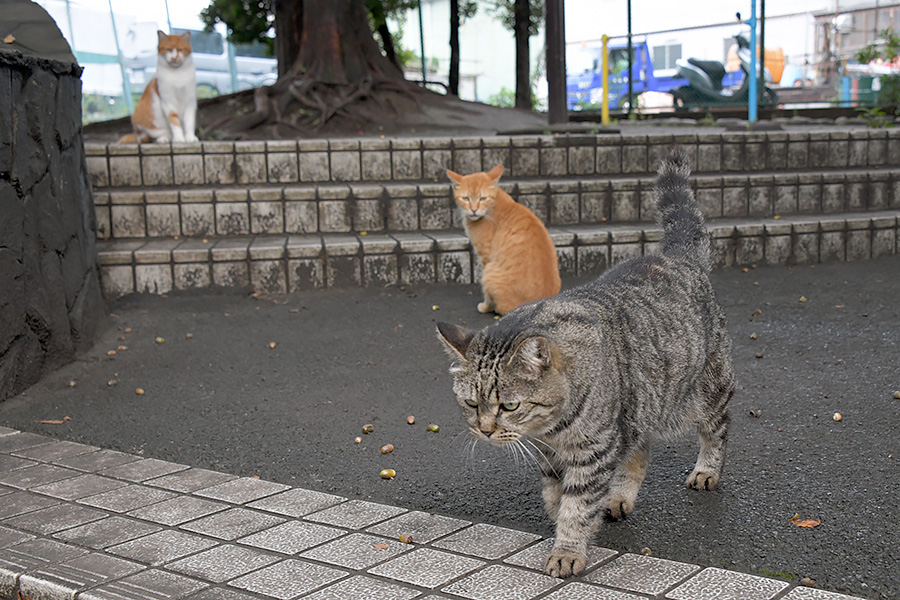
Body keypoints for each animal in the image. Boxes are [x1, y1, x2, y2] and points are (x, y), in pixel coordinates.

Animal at [446, 164, 560, 314]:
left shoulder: (486, 257)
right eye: (466, 198)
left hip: (490, 272)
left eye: (483, 198)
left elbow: (486, 293)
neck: (492, 206)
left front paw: (486, 306)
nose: (474, 210)